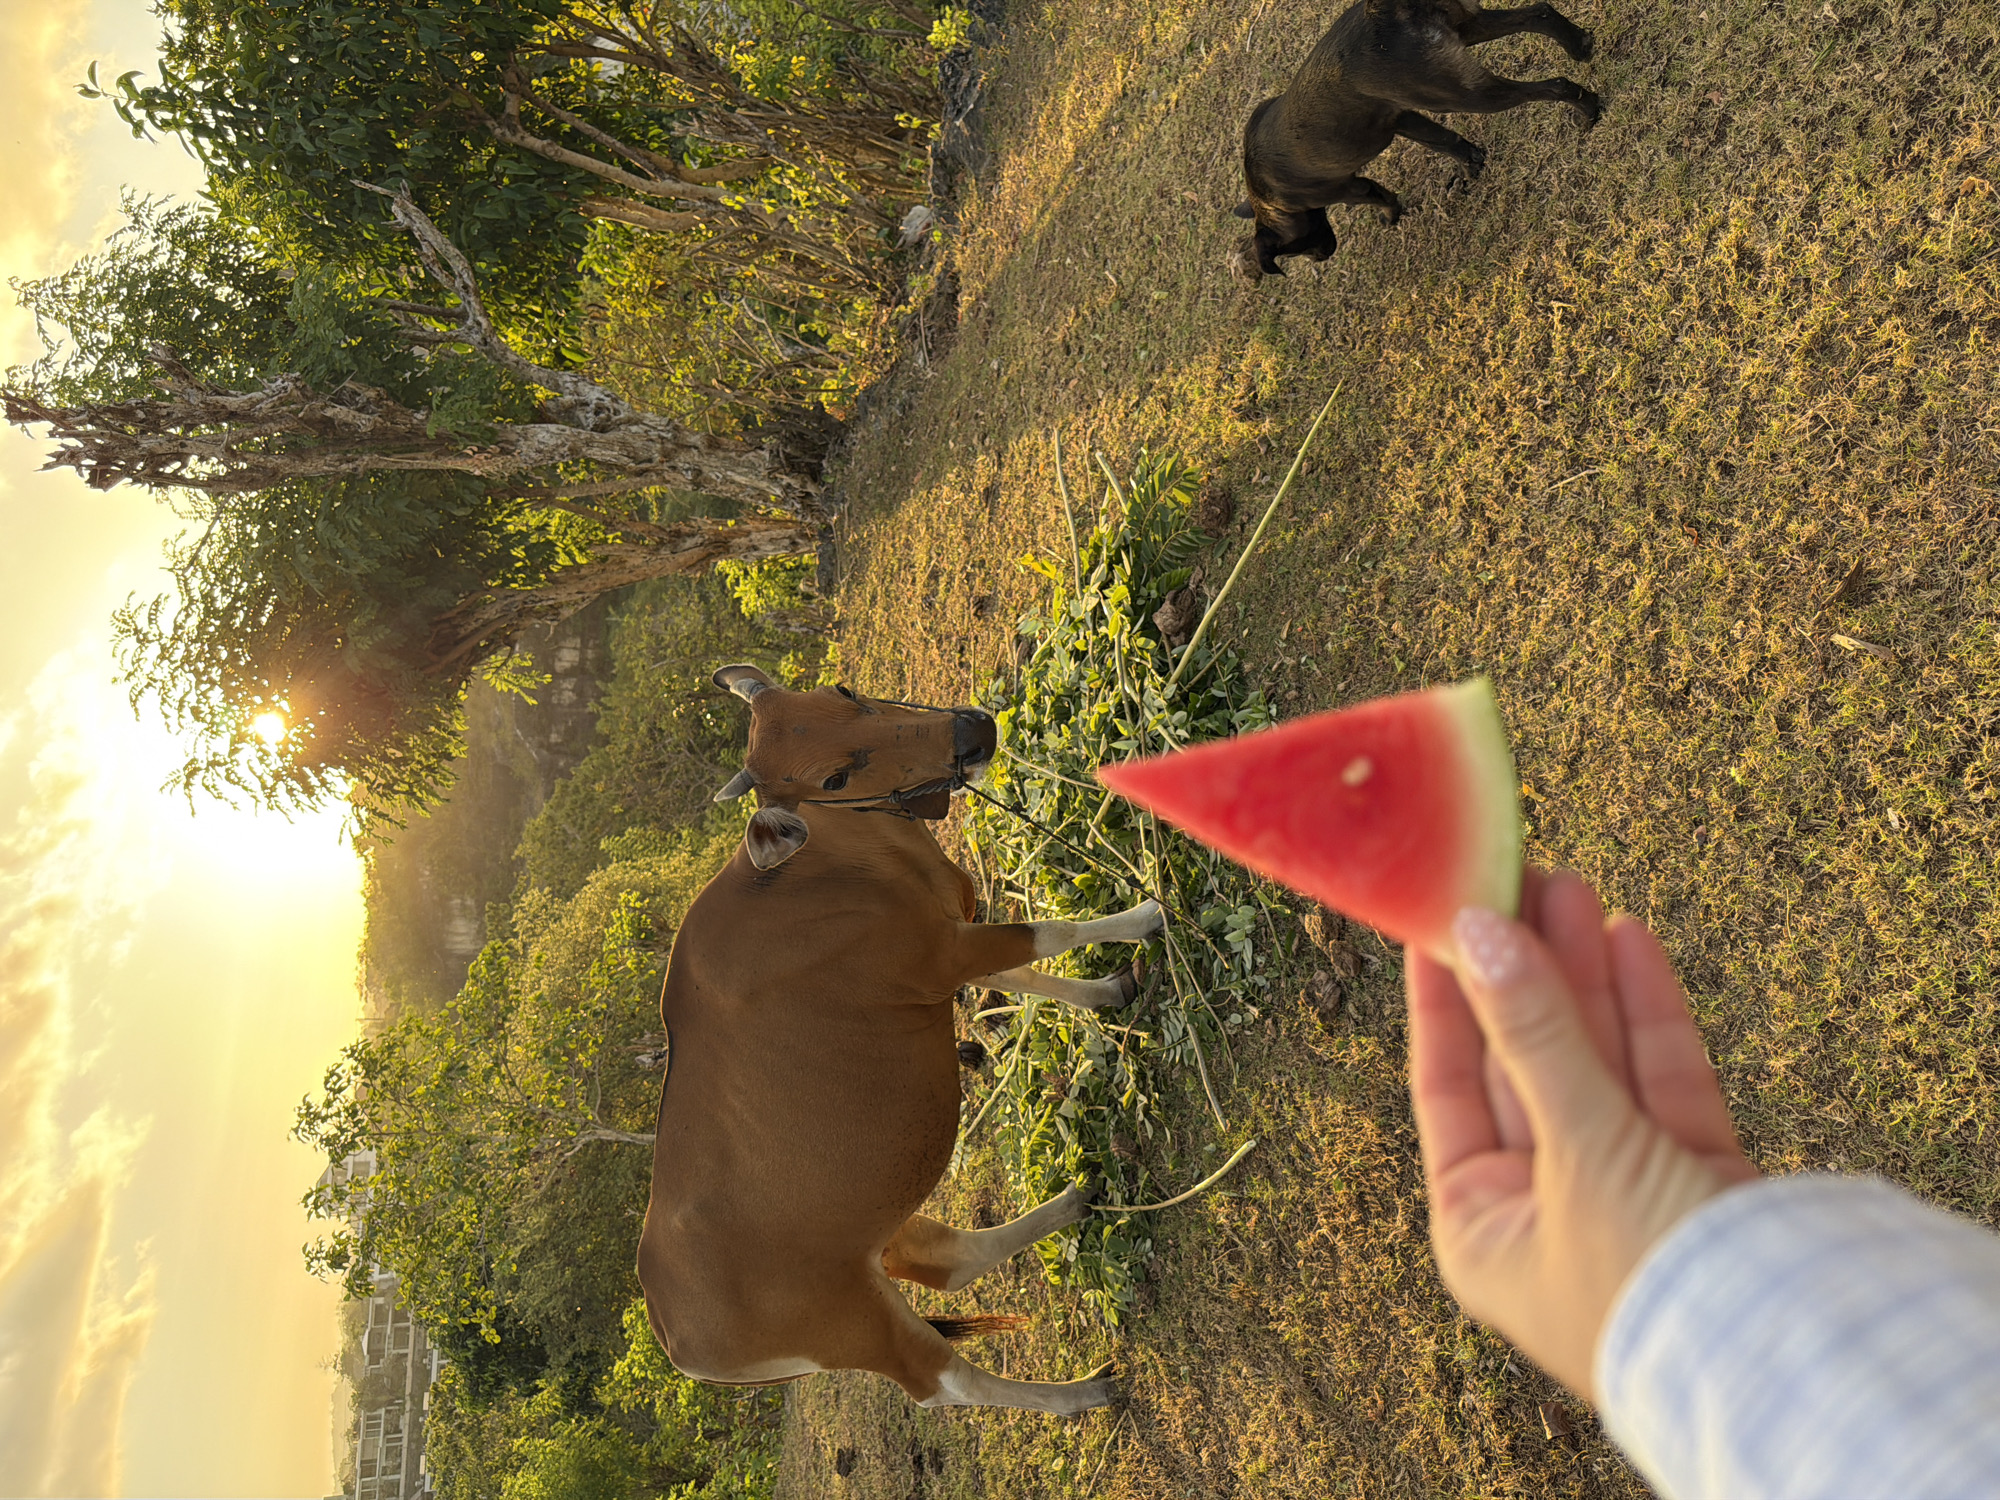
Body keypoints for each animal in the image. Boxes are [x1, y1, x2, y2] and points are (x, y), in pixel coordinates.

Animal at [636, 664, 1163, 1413]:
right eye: (831, 778)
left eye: (842, 694)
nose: (972, 733)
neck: (822, 868)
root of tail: (671, 1333)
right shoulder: (944, 953)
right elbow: (1048, 935)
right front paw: (1146, 914)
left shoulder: (952, 939)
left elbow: (1028, 973)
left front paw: (1111, 993)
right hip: (853, 1322)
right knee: (943, 1383)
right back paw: (1082, 1394)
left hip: (878, 1237)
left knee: (951, 1263)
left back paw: (1076, 1198)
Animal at [1230, 0, 1599, 283]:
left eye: (1295, 249)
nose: (1320, 258)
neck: (1265, 196)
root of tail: (1388, 10)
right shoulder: (1403, 118)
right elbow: (1446, 142)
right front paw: (1471, 167)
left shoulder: (1352, 188)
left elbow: (1381, 196)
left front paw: (1391, 215)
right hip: (1469, 32)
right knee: (1539, 12)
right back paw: (1578, 44)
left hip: (1465, 94)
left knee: (1554, 85)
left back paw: (1587, 110)